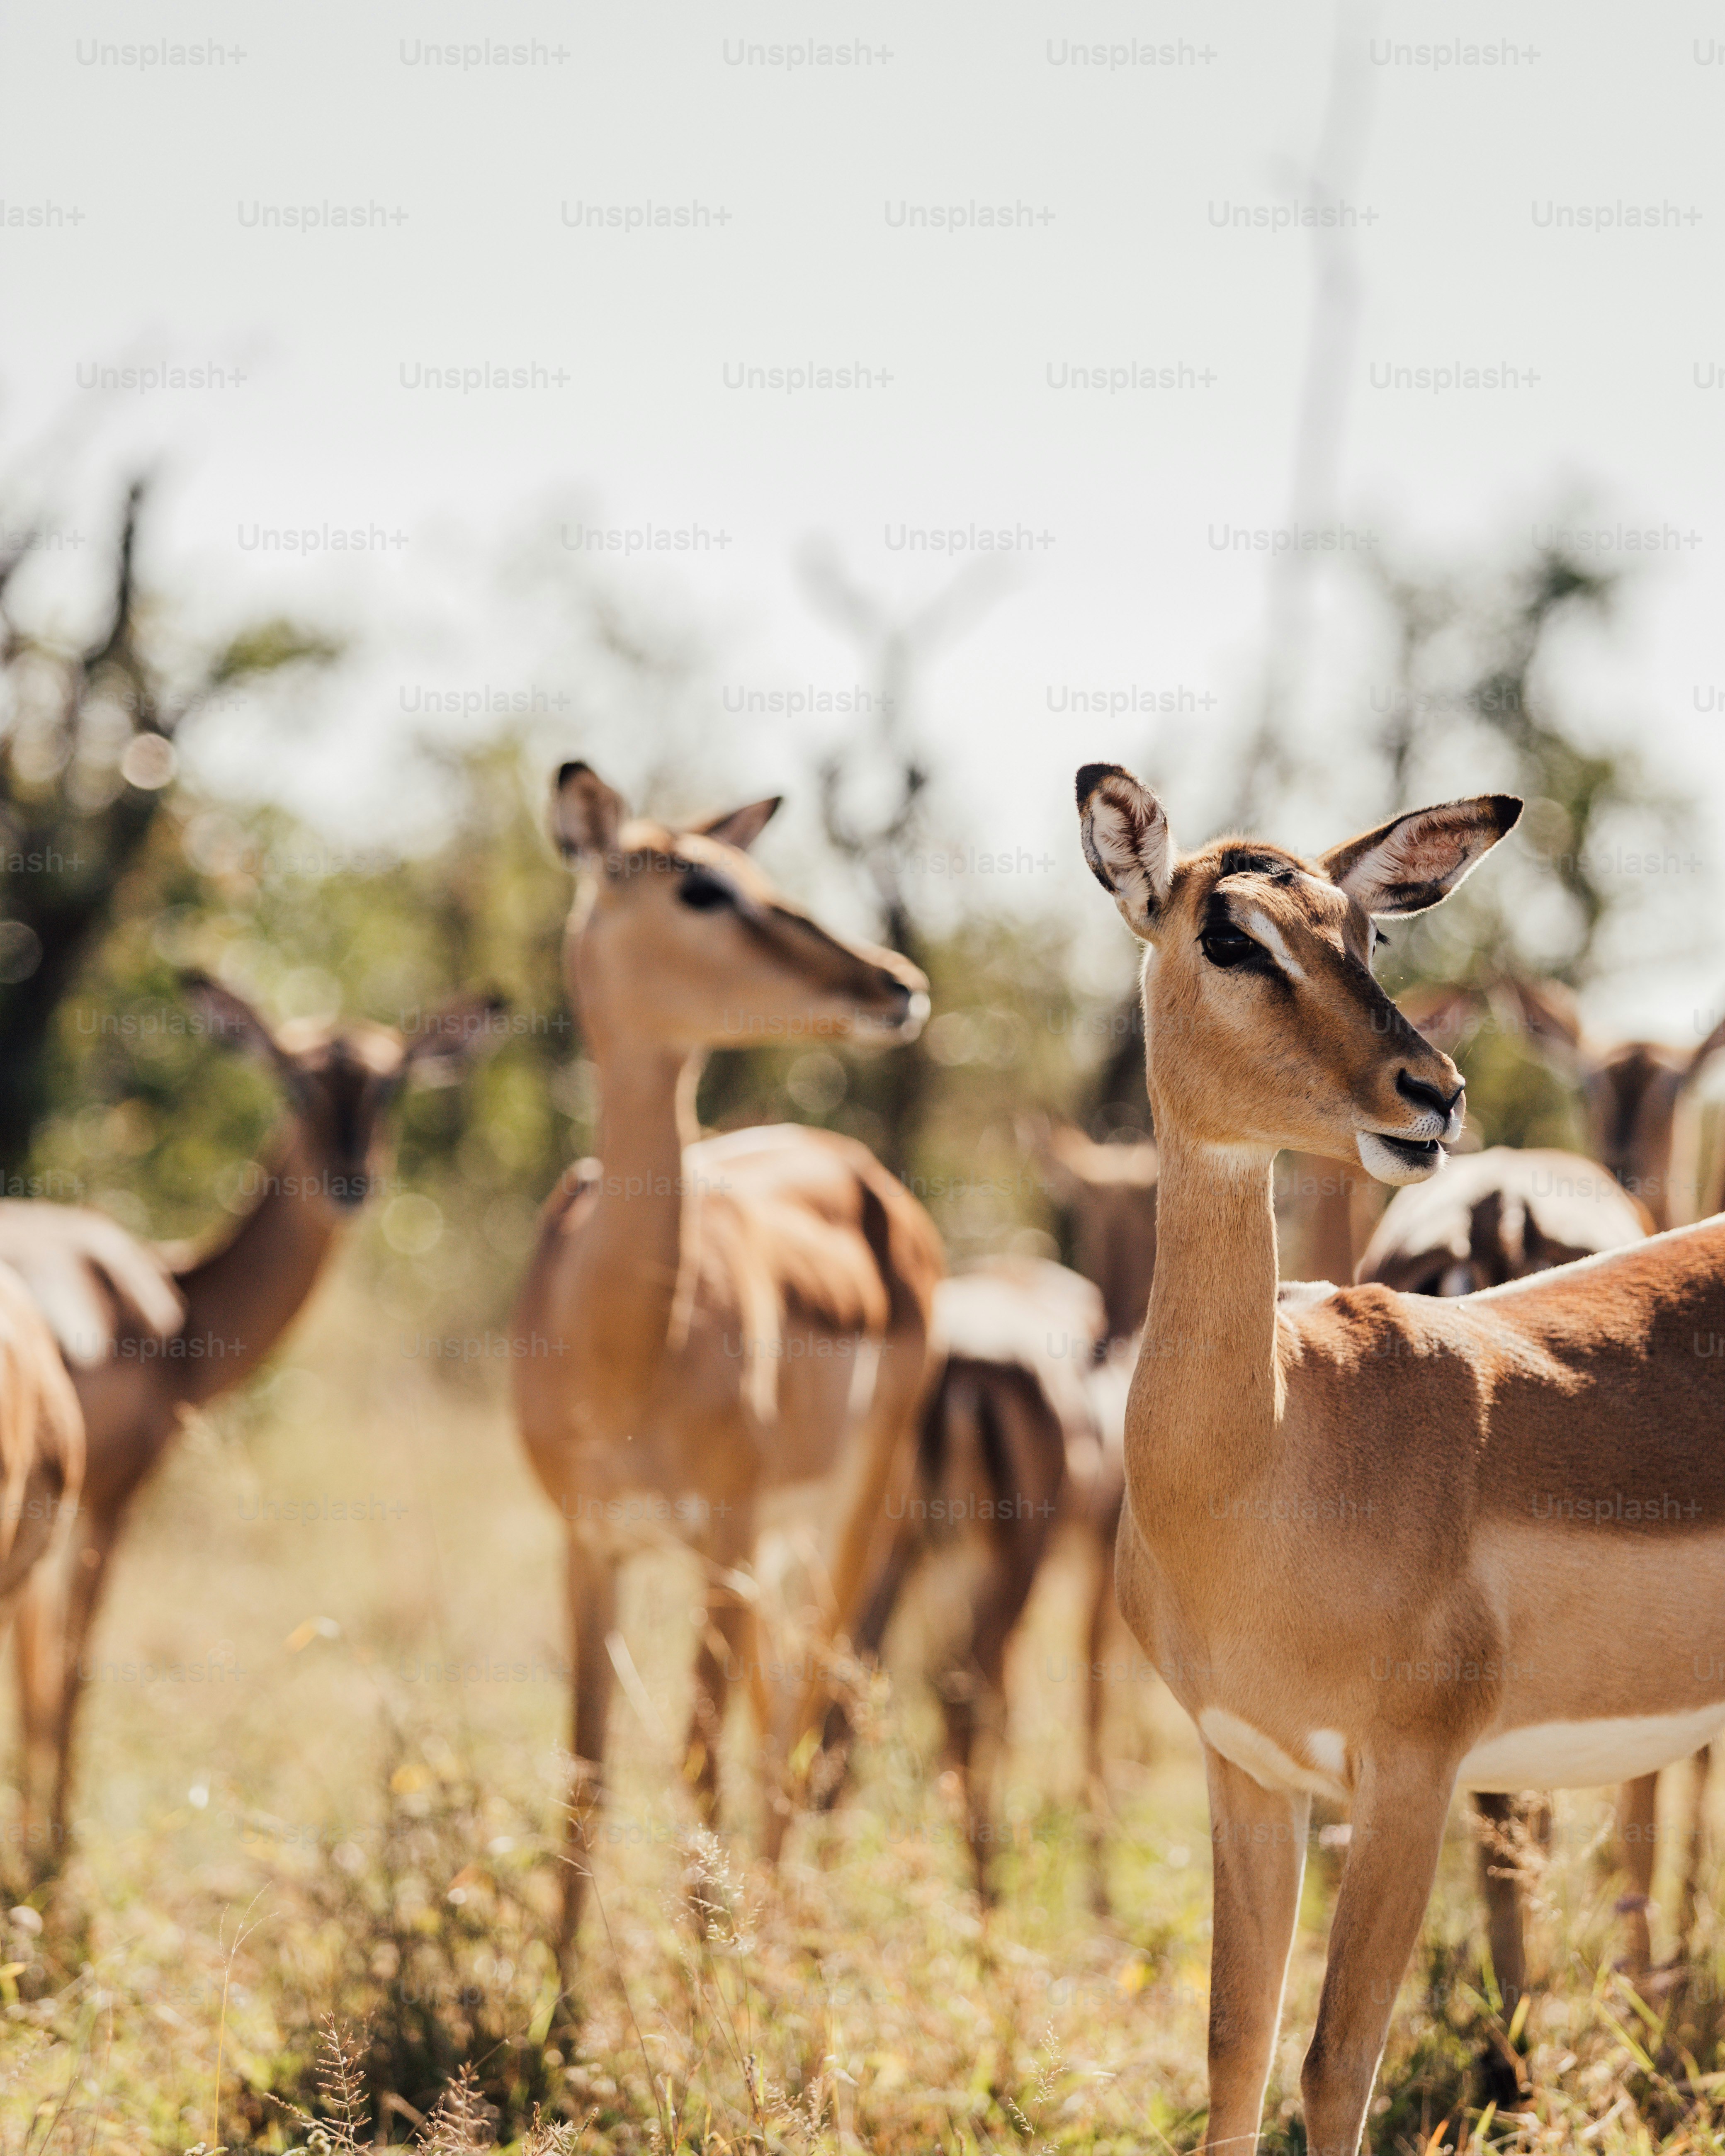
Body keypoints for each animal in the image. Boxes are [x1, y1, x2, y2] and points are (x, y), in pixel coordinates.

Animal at [0, 976, 496, 1864]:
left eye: (391, 1084)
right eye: (295, 1083)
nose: (350, 1181)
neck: (176, 1299)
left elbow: (36, 1674)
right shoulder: (115, 1495)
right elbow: (70, 1667)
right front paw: (52, 1858)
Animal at [511, 762, 944, 1985]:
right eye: (701, 885)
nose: (895, 982)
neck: (625, 1343)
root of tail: (857, 1167)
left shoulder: (719, 1533)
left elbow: (695, 1762)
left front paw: (703, 2004)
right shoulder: (590, 1542)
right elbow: (586, 1768)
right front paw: (557, 2003)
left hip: (842, 1520)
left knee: (805, 1723)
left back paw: (784, 1952)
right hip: (769, 1553)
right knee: (778, 1716)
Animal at [1073, 761, 1725, 2156]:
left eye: (1364, 933)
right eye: (1230, 935)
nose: (1432, 1092)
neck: (1269, 1456)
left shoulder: (1409, 1780)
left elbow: (1335, 2064)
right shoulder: (1249, 1770)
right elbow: (1236, 2050)